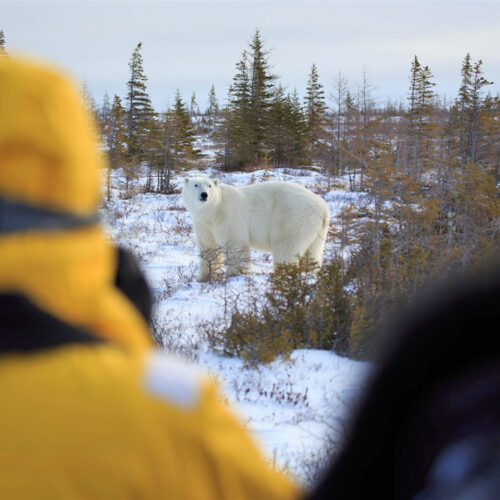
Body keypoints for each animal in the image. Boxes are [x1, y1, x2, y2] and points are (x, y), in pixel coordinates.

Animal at [182, 178, 330, 282]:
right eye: (196, 185)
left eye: (209, 186)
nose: (204, 195)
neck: (214, 210)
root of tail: (323, 207)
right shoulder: (202, 223)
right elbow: (208, 247)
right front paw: (204, 277)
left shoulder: (229, 215)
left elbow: (235, 244)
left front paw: (235, 275)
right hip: (317, 230)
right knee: (312, 252)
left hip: (293, 219)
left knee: (286, 247)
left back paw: (282, 275)